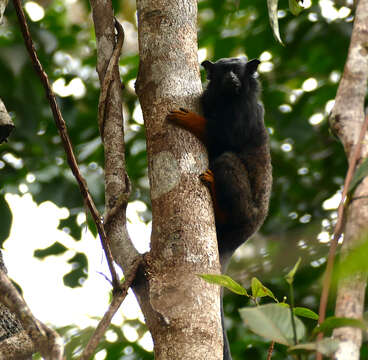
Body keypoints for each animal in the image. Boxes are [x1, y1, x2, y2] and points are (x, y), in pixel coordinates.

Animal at [167, 56, 274, 360]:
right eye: (224, 70)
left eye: (237, 71)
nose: (231, 79)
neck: (228, 100)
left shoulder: (246, 111)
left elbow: (227, 140)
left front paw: (191, 120)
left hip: (246, 211)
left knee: (226, 159)